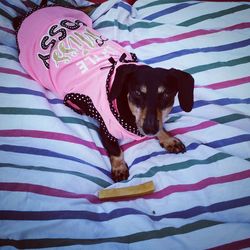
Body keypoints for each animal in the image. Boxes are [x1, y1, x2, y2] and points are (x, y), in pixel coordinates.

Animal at [13, 1, 194, 182]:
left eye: (166, 95)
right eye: (137, 93)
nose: (150, 129)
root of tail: (37, 10)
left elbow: (161, 126)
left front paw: (168, 139)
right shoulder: (105, 129)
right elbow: (115, 149)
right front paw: (119, 168)